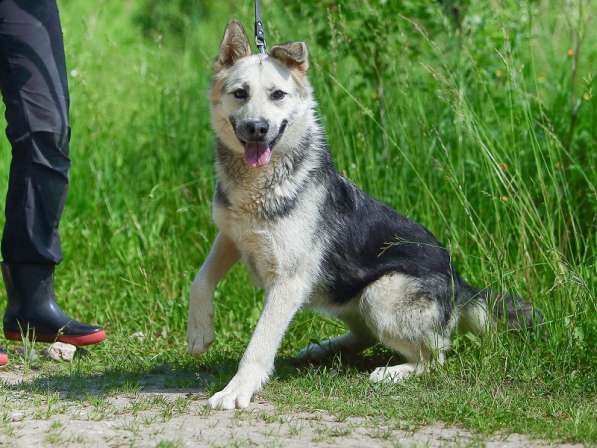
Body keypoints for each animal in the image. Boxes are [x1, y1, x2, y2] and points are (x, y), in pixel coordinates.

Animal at [186, 22, 540, 412]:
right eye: (240, 93)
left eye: (277, 94)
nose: (256, 128)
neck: (258, 184)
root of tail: (460, 283)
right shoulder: (231, 237)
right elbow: (200, 280)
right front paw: (199, 333)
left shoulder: (286, 283)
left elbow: (259, 343)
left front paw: (237, 389)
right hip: (338, 291)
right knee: (367, 336)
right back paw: (321, 349)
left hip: (377, 294)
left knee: (437, 355)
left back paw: (392, 372)